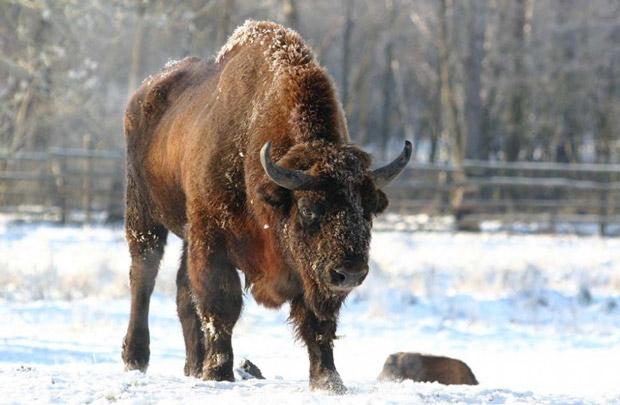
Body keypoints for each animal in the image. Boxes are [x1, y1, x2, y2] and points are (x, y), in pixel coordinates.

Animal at [121, 19, 412, 392]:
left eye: (369, 211)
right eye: (308, 209)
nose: (349, 273)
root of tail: (143, 93)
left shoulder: (310, 274)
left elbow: (318, 324)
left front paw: (329, 381)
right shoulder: (212, 237)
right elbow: (222, 304)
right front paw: (219, 373)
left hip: (186, 231)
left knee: (183, 292)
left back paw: (193, 366)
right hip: (143, 213)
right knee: (143, 275)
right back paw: (136, 359)